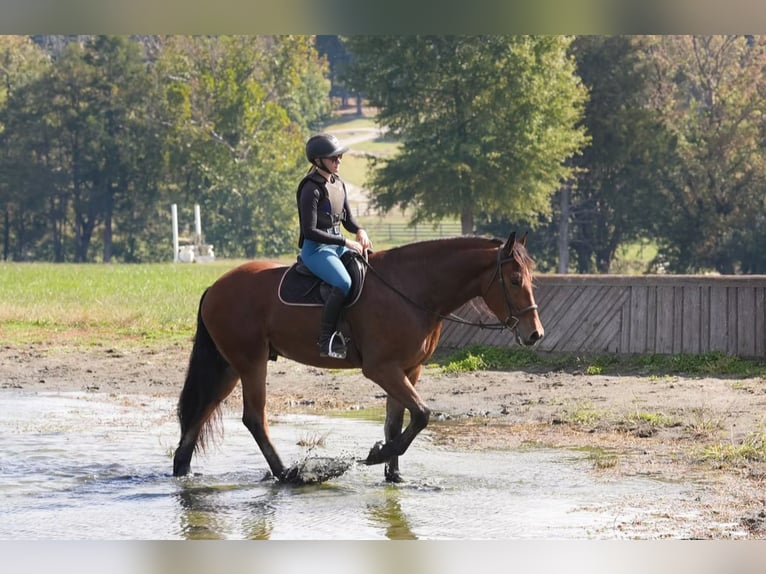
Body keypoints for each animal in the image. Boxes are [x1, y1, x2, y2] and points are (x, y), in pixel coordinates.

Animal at [172, 231, 544, 483]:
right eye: (514, 280)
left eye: (531, 279)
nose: (535, 334)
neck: (412, 288)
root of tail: (216, 287)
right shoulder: (382, 369)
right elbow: (421, 414)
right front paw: (379, 455)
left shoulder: (409, 369)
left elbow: (397, 421)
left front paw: (394, 474)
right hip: (251, 362)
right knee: (253, 417)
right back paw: (287, 473)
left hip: (229, 366)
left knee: (202, 410)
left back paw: (182, 469)